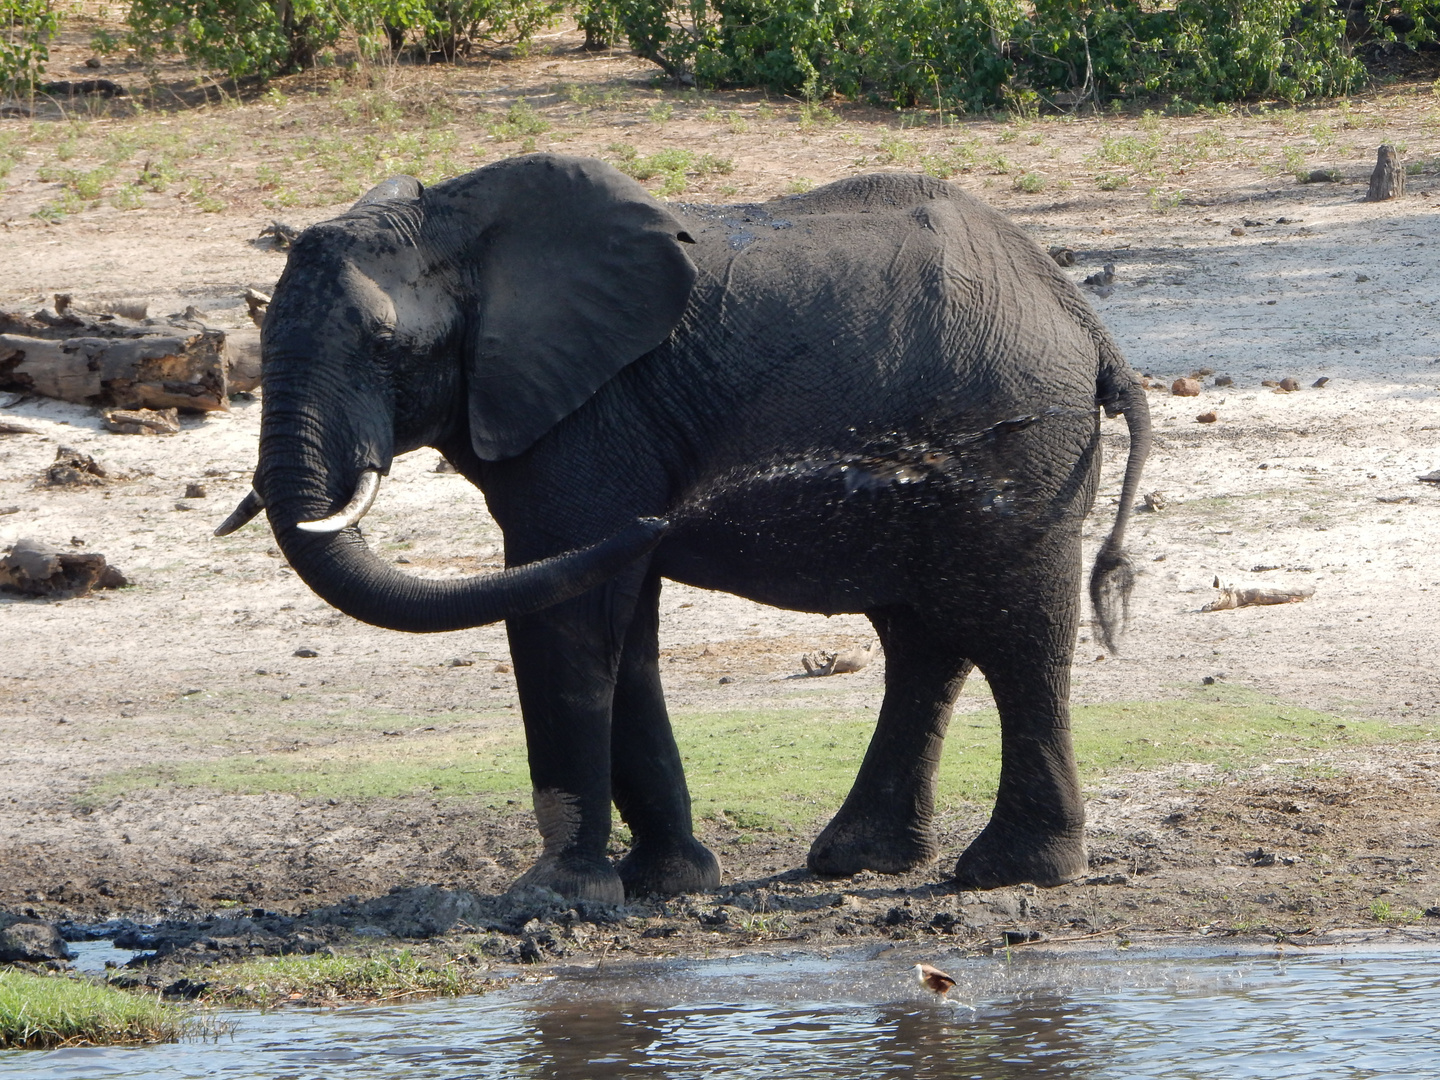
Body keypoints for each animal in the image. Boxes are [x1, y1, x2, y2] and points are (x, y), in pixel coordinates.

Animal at [218, 154, 1152, 904]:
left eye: (383, 345)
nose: (670, 511)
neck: (456, 220)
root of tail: (1084, 319)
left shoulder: (591, 418)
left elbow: (563, 617)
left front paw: (554, 898)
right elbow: (615, 624)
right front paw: (667, 884)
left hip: (1023, 445)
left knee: (1016, 635)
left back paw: (1010, 872)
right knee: (924, 641)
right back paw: (858, 859)